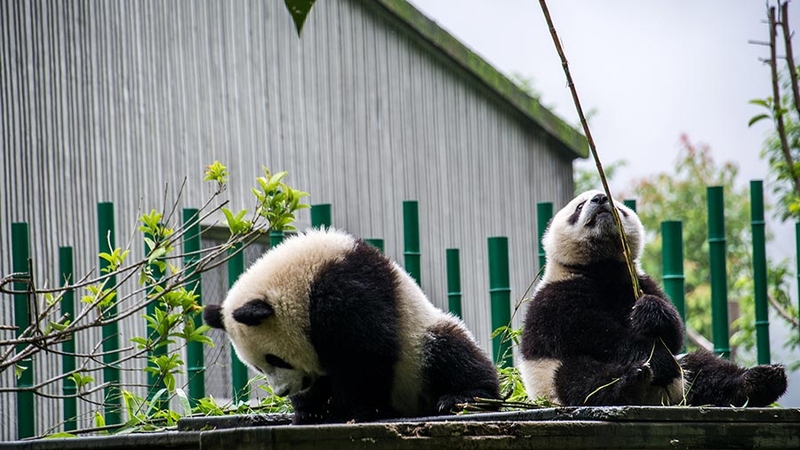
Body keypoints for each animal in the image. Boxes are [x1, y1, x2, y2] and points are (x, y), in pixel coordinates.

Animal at [203, 228, 500, 424]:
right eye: (257, 368)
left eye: (276, 359)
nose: (283, 392)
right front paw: (311, 410)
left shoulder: (345, 289)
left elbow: (366, 354)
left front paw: (351, 410)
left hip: (417, 341)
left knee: (450, 353)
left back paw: (463, 397)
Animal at [519, 190, 787, 407]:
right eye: (579, 206)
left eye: (619, 206)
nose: (601, 198)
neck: (601, 266)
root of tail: (664, 399)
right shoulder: (556, 295)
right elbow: (586, 332)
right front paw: (650, 353)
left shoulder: (636, 281)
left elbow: (674, 333)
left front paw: (650, 312)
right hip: (549, 376)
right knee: (581, 379)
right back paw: (632, 381)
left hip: (686, 376)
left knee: (705, 369)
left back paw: (761, 381)